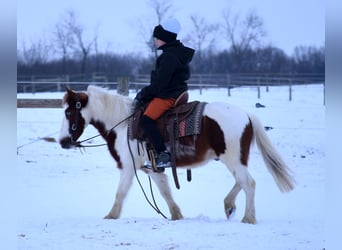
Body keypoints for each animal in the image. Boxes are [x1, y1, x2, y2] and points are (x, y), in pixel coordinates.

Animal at [58, 85, 294, 224]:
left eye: (69, 112)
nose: (63, 141)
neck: (123, 124)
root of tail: (246, 114)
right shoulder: (151, 168)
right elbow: (165, 191)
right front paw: (176, 215)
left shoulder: (128, 166)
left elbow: (120, 193)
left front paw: (111, 215)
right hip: (235, 159)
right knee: (241, 181)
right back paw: (229, 206)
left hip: (233, 158)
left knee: (249, 183)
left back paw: (248, 218)